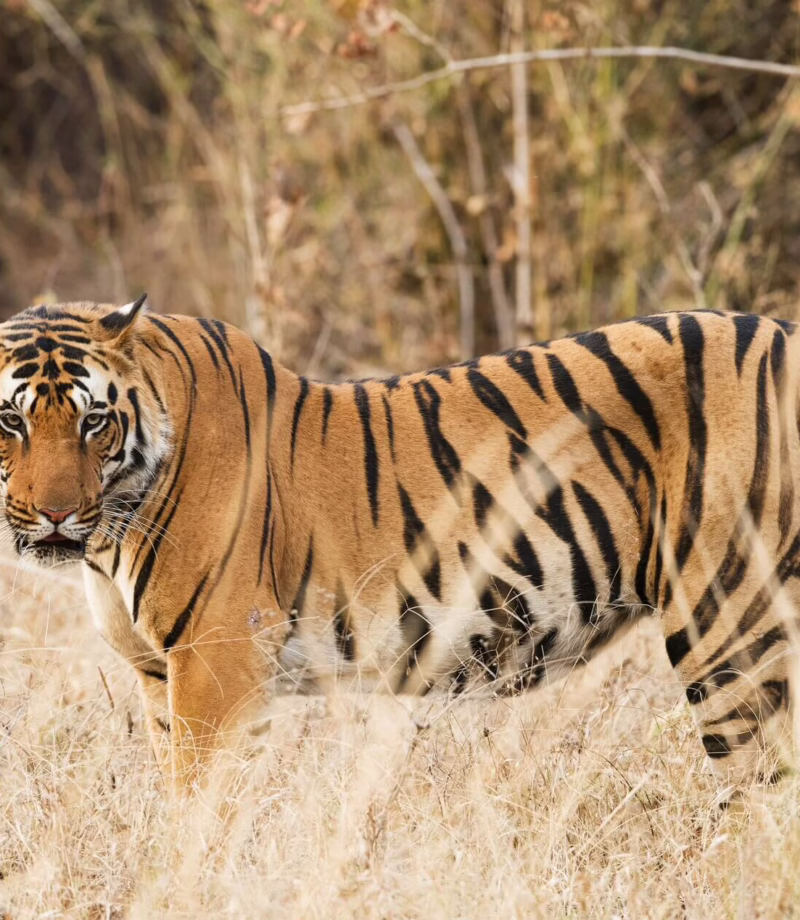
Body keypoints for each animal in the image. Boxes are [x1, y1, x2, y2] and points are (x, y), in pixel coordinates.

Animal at [0, 298, 798, 791]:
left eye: (93, 420)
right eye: (12, 421)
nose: (56, 515)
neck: (111, 532)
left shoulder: (216, 664)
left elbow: (200, 811)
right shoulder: (159, 674)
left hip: (728, 619)